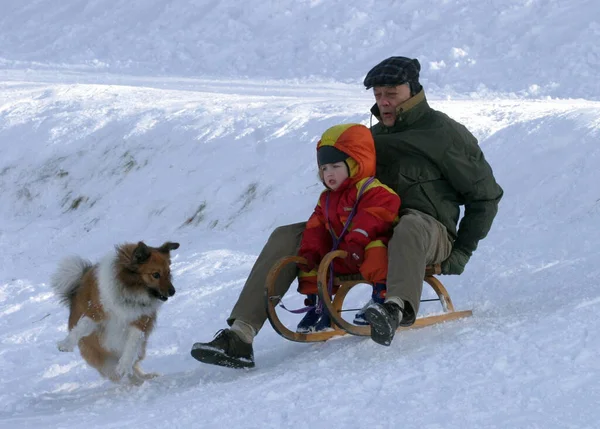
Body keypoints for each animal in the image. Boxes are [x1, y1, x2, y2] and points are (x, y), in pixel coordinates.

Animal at [49, 241, 178, 384]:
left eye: (168, 272)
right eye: (156, 274)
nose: (173, 291)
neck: (130, 291)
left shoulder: (141, 320)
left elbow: (132, 343)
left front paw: (124, 365)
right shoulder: (97, 311)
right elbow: (82, 326)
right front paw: (66, 344)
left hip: (138, 350)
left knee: (133, 366)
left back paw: (143, 377)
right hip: (103, 358)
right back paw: (136, 381)